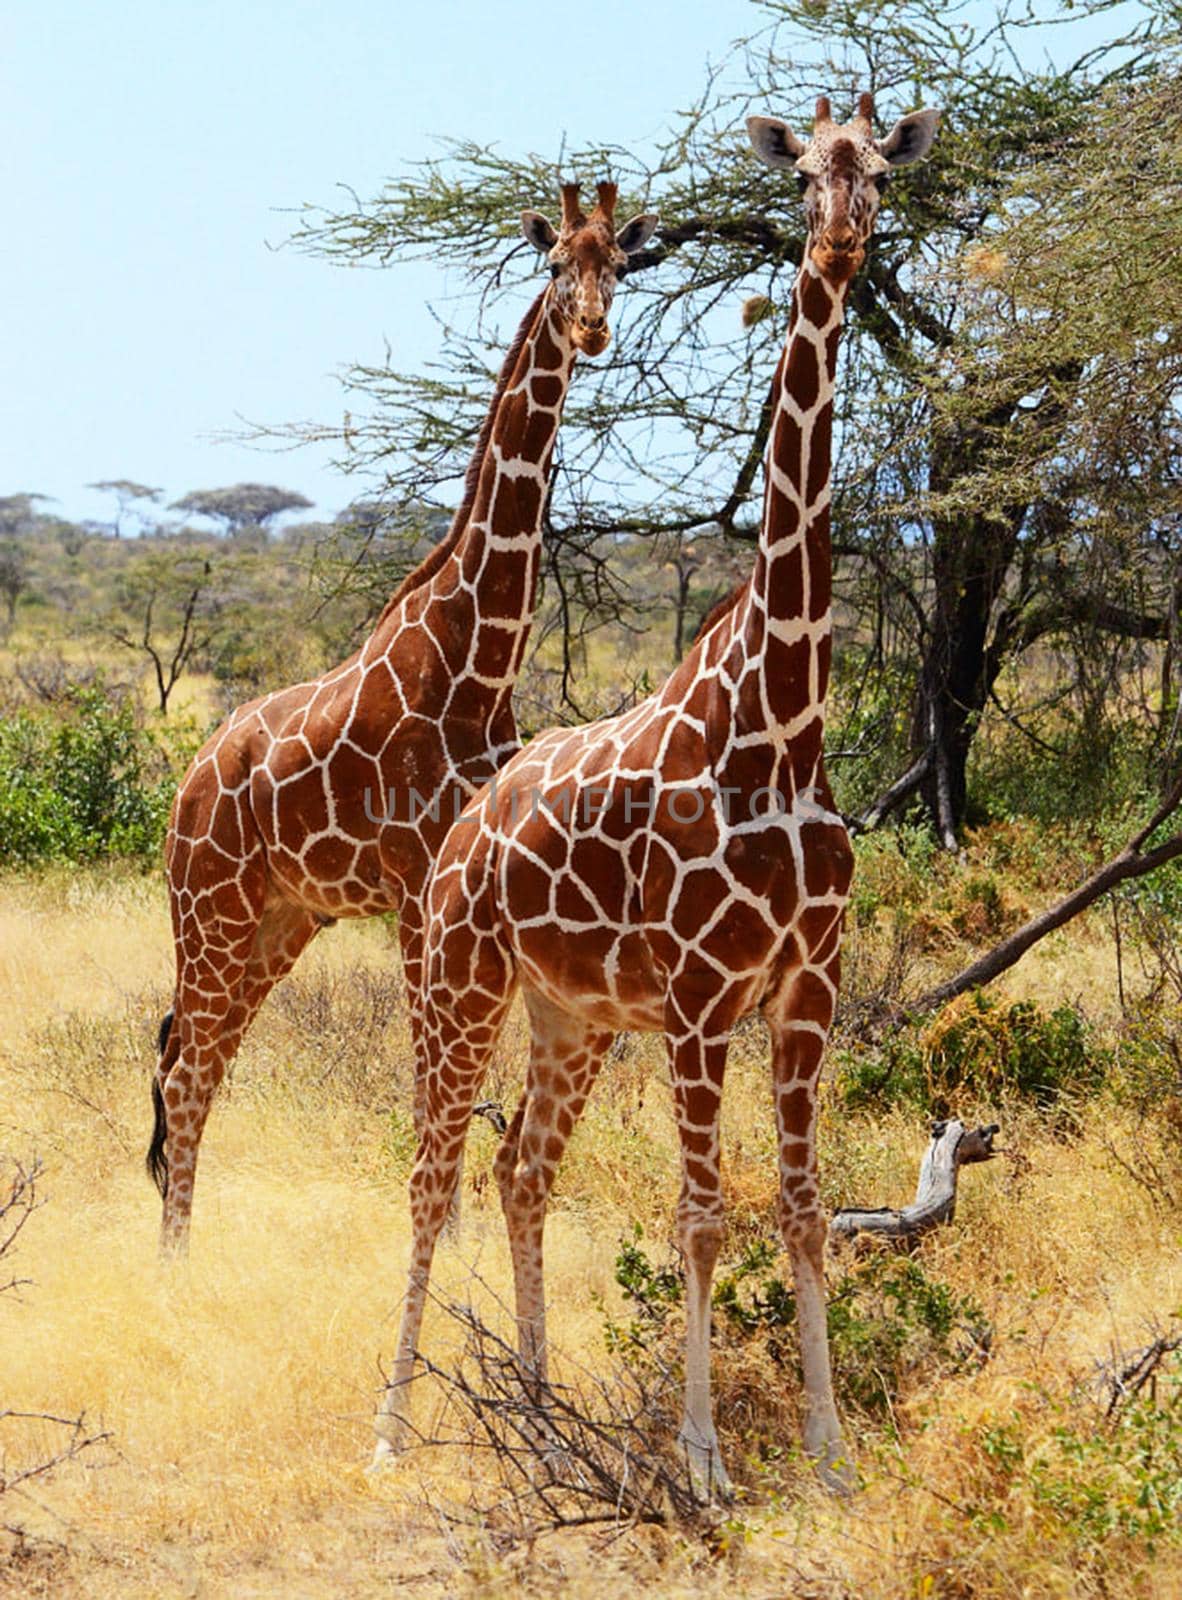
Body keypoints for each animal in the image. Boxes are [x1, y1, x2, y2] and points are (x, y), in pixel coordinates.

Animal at [147, 181, 655, 1254]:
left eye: (623, 264)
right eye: (557, 264)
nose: (592, 327)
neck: (476, 661)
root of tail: (189, 780)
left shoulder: (448, 895)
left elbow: (453, 1084)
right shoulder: (420, 888)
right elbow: (436, 1086)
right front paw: (446, 1250)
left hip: (280, 920)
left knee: (197, 1064)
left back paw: (181, 1246)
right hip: (209, 906)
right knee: (186, 1068)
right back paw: (171, 1261)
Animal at [379, 93, 940, 1484]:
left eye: (879, 168)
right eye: (799, 175)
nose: (842, 237)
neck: (781, 721)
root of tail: (468, 823)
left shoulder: (806, 988)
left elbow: (802, 1209)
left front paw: (831, 1455)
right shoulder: (697, 997)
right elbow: (698, 1216)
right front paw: (703, 1461)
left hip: (570, 1015)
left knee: (521, 1167)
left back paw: (535, 1413)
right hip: (459, 979)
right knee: (431, 1175)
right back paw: (391, 1433)